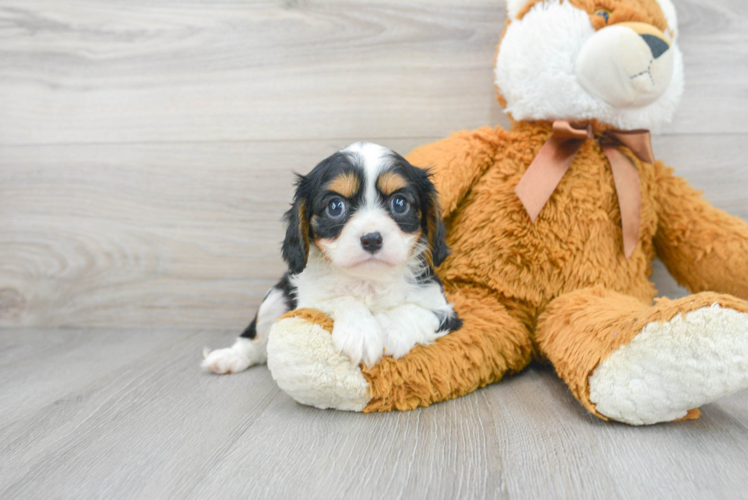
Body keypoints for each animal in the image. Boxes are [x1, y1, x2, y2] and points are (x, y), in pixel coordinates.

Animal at [205, 143, 462, 374]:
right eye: (335, 207)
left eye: (399, 203)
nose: (371, 239)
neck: (367, 281)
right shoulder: (310, 299)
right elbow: (341, 298)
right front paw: (362, 332)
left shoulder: (444, 310)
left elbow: (413, 311)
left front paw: (389, 329)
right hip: (275, 296)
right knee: (256, 340)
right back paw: (229, 357)